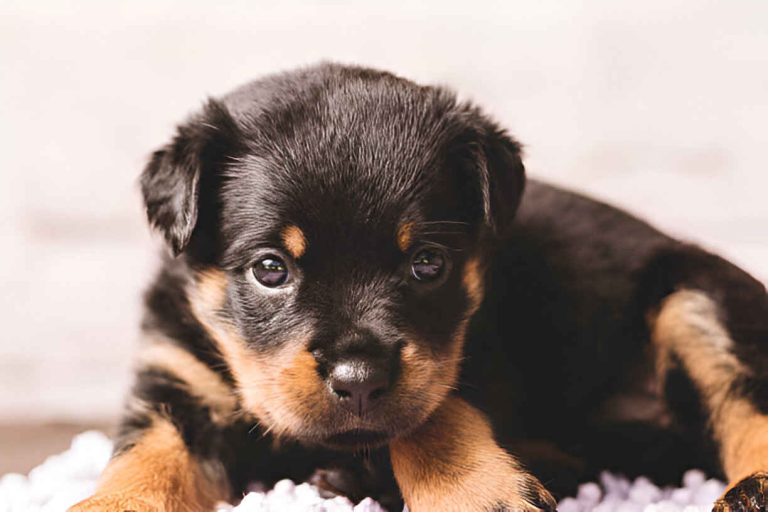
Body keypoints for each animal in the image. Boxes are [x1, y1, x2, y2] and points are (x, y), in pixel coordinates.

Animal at [72, 65, 768, 512]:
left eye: (427, 263)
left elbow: (431, 415)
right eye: (270, 268)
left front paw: (473, 492)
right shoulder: (176, 380)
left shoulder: (462, 354)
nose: (358, 381)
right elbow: (146, 456)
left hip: (695, 300)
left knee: (747, 408)